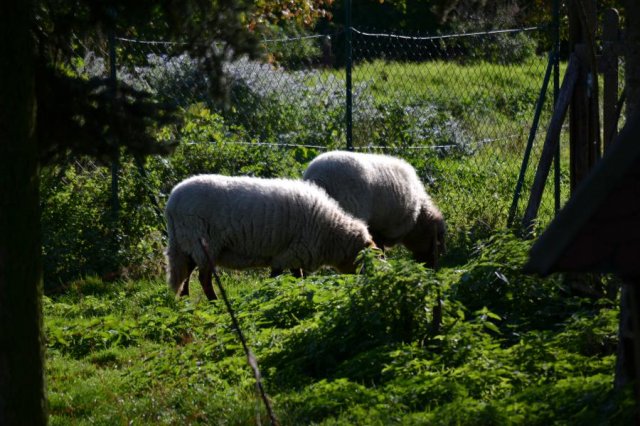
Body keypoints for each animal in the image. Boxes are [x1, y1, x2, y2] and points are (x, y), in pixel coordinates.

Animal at [165, 173, 376, 300]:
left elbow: (297, 278)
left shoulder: (294, 255)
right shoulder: (289, 254)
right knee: (203, 278)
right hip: (203, 243)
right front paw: (274, 295)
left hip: (185, 244)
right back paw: (214, 302)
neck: (330, 233)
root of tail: (172, 201)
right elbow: (277, 278)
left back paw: (185, 301)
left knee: (185, 274)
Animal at [304, 151, 444, 268]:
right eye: (436, 242)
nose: (432, 268)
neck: (418, 217)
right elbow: (380, 248)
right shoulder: (385, 229)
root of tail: (319, 176)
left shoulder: (376, 228)